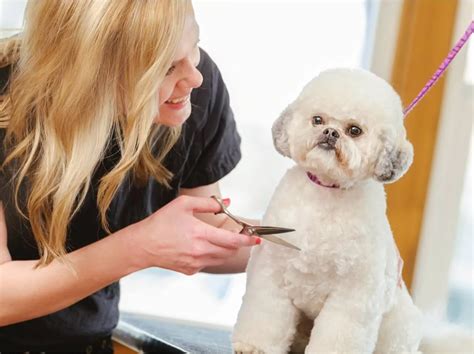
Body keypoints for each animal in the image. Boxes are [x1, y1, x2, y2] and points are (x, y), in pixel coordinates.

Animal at [233, 69, 422, 354]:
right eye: (317, 120)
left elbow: (338, 335)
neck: (326, 191)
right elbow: (266, 316)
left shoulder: (352, 297)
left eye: (354, 130)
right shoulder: (271, 274)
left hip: (399, 326)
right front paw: (253, 346)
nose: (330, 132)